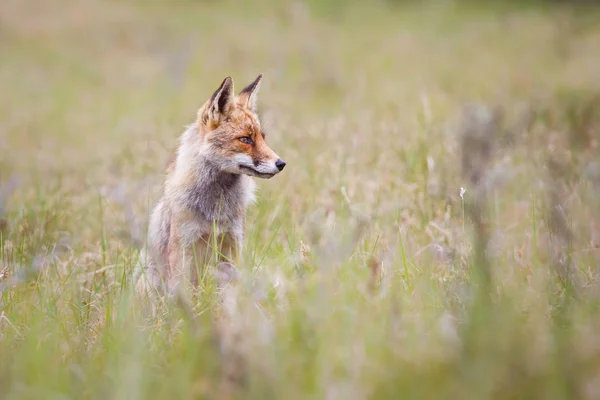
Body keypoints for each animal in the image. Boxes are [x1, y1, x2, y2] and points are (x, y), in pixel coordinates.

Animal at [136, 76, 286, 296]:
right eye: (245, 139)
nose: (281, 163)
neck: (216, 210)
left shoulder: (232, 246)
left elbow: (230, 296)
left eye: (262, 138)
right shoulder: (183, 250)